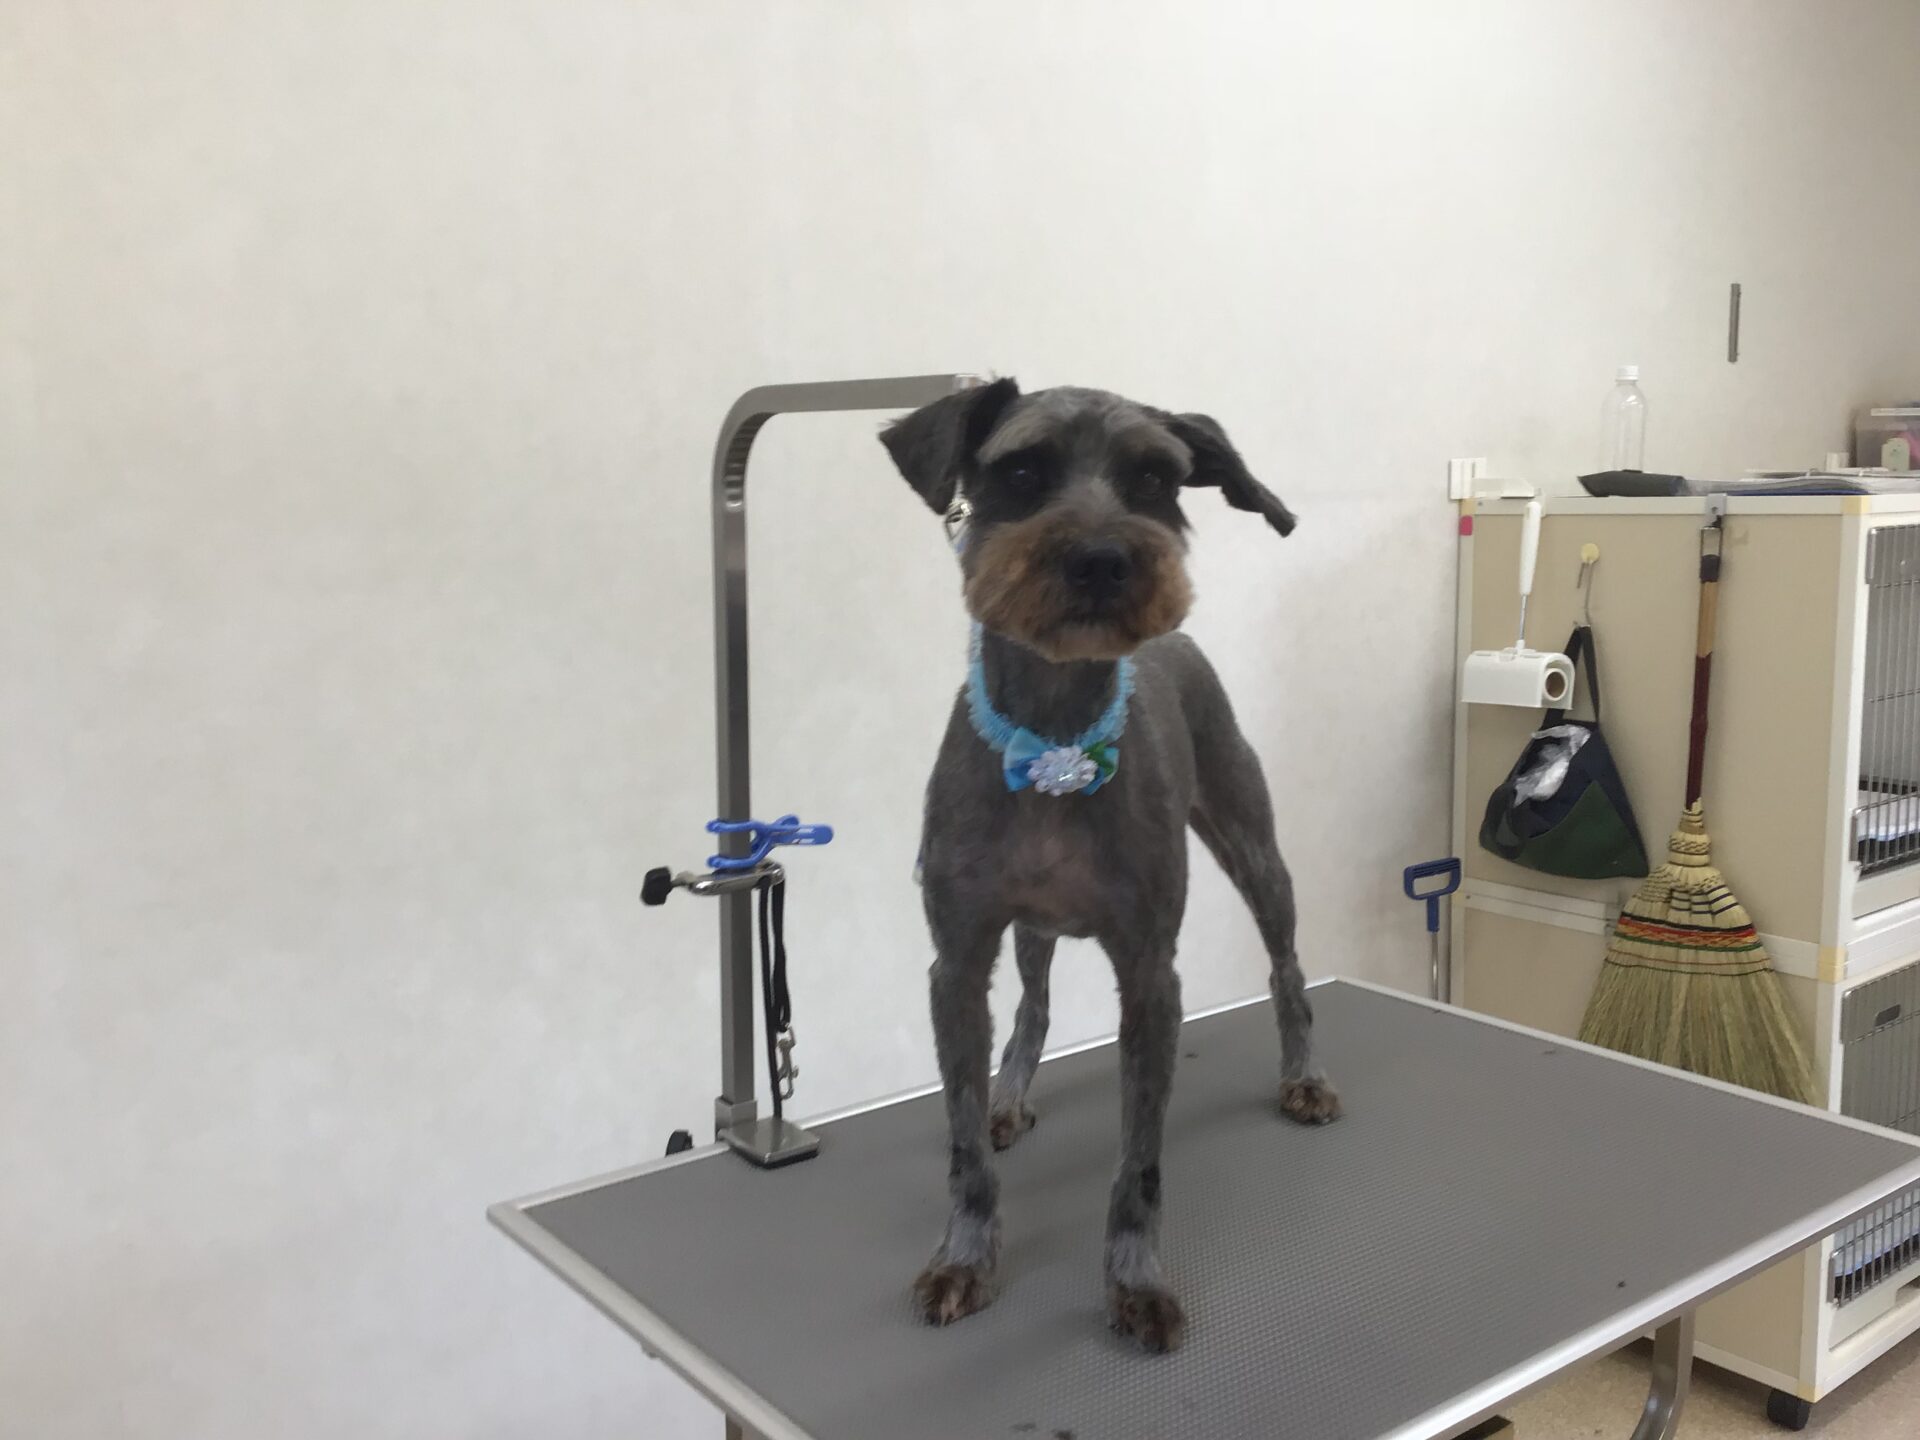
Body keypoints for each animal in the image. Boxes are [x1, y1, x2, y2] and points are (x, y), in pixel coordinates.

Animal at [879, 379, 1340, 1355]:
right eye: (1021, 471)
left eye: (1156, 479)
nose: (1102, 560)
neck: (1055, 733)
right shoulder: (958, 959)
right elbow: (963, 1144)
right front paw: (966, 1256)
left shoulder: (1151, 973)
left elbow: (1141, 1161)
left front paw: (1134, 1281)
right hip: (1033, 929)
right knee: (1034, 1006)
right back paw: (1010, 1093)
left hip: (1253, 848)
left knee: (1288, 970)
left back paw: (1304, 1077)